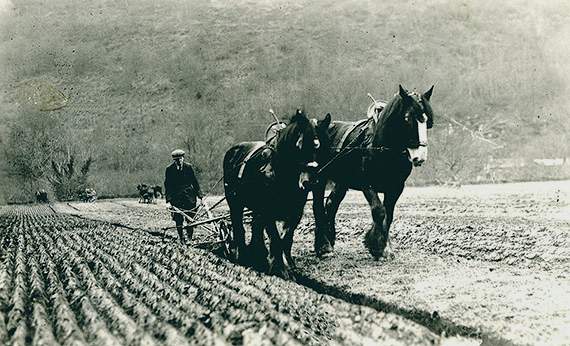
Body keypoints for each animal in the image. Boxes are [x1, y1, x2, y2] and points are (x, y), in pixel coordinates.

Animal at [221, 109, 328, 278]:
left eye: (319, 147)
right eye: (299, 145)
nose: (310, 181)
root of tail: (233, 150)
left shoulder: (295, 211)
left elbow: (286, 239)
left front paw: (287, 265)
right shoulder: (267, 210)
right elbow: (276, 239)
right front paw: (280, 269)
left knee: (256, 227)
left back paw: (258, 254)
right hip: (234, 202)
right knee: (239, 228)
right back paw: (243, 256)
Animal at [308, 85, 432, 260]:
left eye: (427, 120)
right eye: (407, 118)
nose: (420, 156)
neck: (381, 147)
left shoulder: (395, 187)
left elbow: (389, 215)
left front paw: (385, 247)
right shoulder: (367, 184)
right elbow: (379, 211)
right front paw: (377, 247)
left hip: (342, 182)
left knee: (331, 204)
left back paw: (329, 240)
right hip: (319, 178)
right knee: (317, 207)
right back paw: (324, 246)